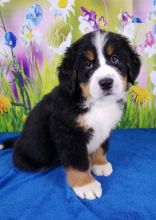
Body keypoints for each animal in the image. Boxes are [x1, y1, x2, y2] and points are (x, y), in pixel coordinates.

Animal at [1, 30, 141, 200]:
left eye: (115, 59)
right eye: (88, 64)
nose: (106, 82)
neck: (96, 103)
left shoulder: (103, 128)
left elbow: (100, 147)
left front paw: (100, 164)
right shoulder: (69, 134)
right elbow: (78, 162)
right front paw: (86, 185)